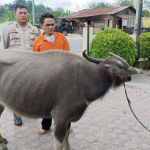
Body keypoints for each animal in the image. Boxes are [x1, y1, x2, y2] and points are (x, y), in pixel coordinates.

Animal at [0, 49, 139, 149]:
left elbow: (67, 139)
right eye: (121, 68)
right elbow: (60, 143)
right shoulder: (60, 118)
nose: (130, 77)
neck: (87, 79)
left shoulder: (68, 120)